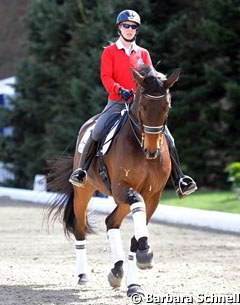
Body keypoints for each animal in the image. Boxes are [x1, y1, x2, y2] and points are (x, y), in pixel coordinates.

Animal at [47, 65, 181, 296]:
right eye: (143, 107)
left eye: (167, 107)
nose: (152, 151)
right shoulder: (122, 188)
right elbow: (136, 211)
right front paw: (145, 254)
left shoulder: (153, 195)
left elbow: (136, 237)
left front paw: (136, 280)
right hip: (85, 192)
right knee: (80, 228)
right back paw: (83, 275)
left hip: (122, 199)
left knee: (111, 222)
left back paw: (117, 271)